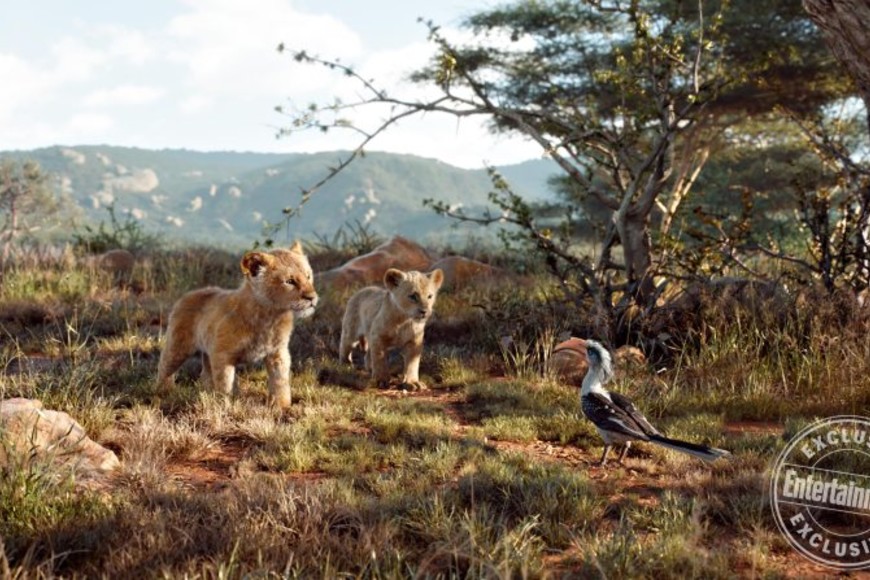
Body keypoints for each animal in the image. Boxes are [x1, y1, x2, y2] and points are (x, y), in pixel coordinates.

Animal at [156, 241, 318, 408]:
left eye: (308, 276)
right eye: (289, 281)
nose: (312, 298)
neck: (270, 317)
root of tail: (186, 295)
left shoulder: (278, 353)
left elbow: (280, 381)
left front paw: (282, 406)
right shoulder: (222, 355)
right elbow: (225, 384)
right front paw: (224, 405)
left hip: (207, 351)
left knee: (205, 374)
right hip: (178, 347)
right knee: (164, 367)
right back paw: (163, 392)